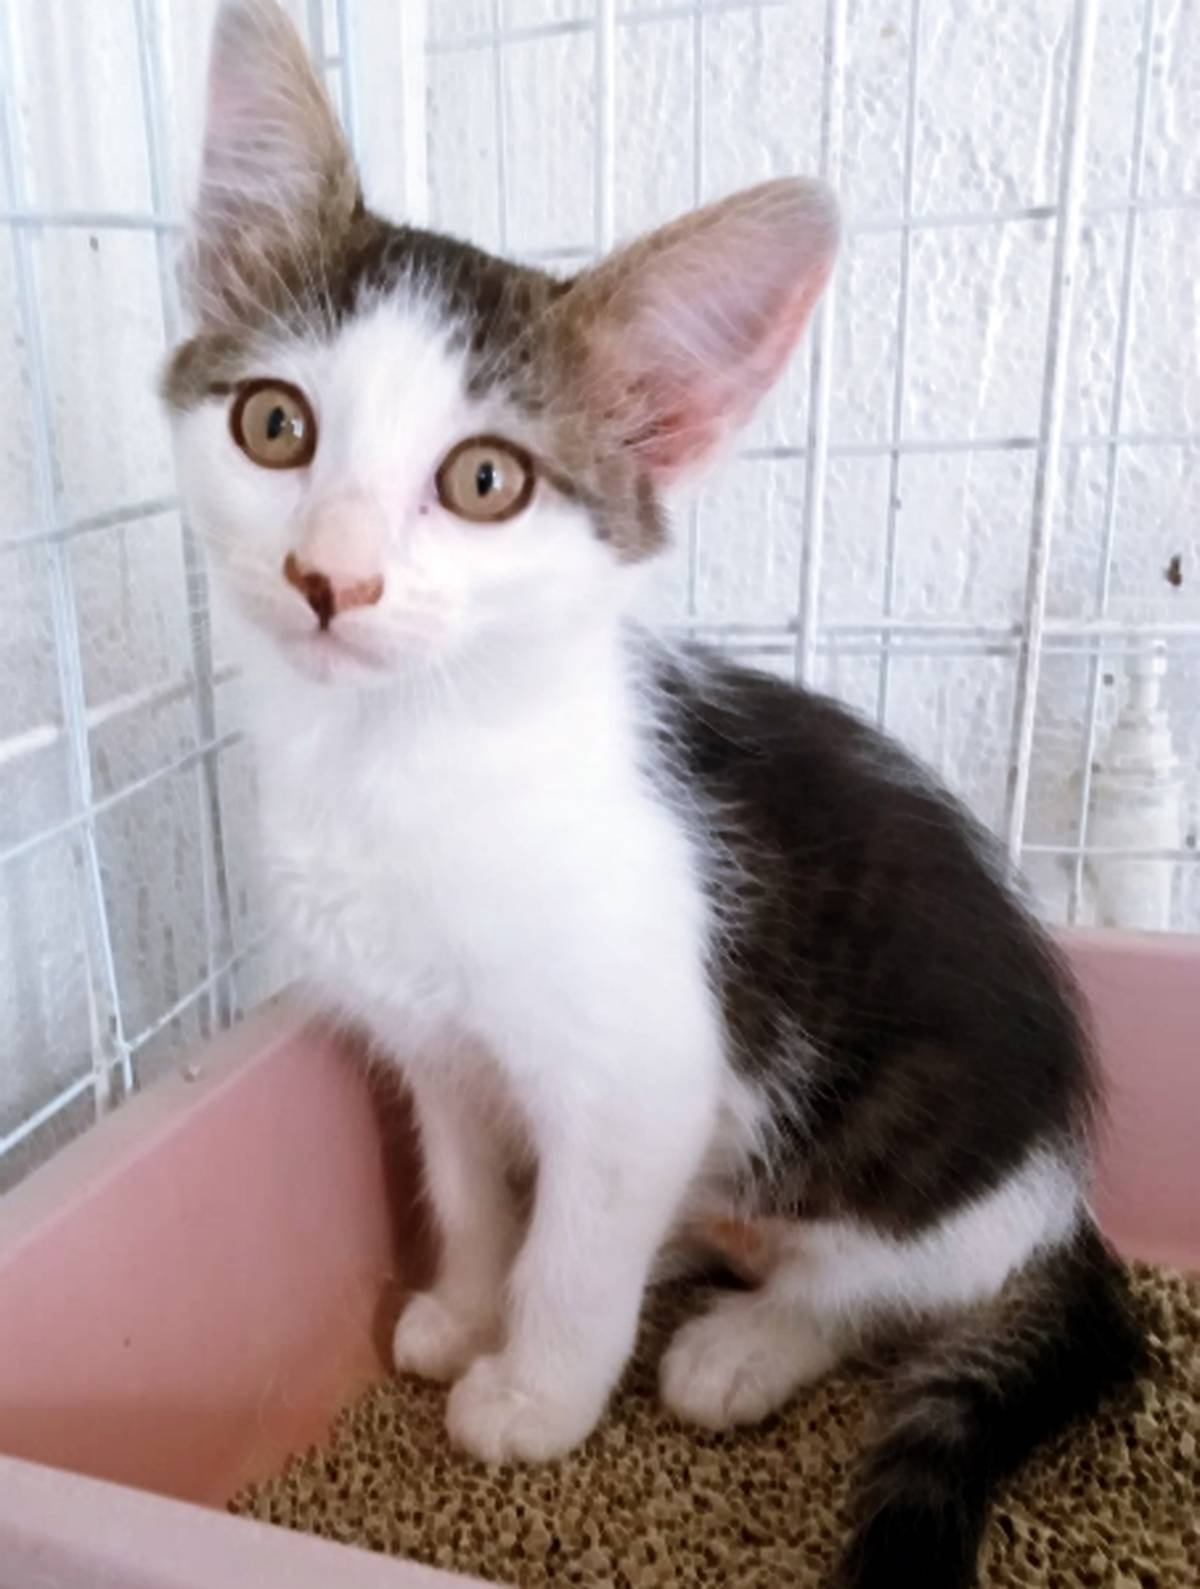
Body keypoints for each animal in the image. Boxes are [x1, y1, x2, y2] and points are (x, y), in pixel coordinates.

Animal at [163, 4, 1144, 1585]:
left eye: (485, 480)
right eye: (273, 425)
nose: (331, 577)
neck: (405, 754)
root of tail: (1068, 1200)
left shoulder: (640, 1066)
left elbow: (578, 1251)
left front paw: (534, 1393)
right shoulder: (431, 1041)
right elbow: (470, 1181)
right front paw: (468, 1302)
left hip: (922, 1157)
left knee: (885, 1281)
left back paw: (744, 1343)